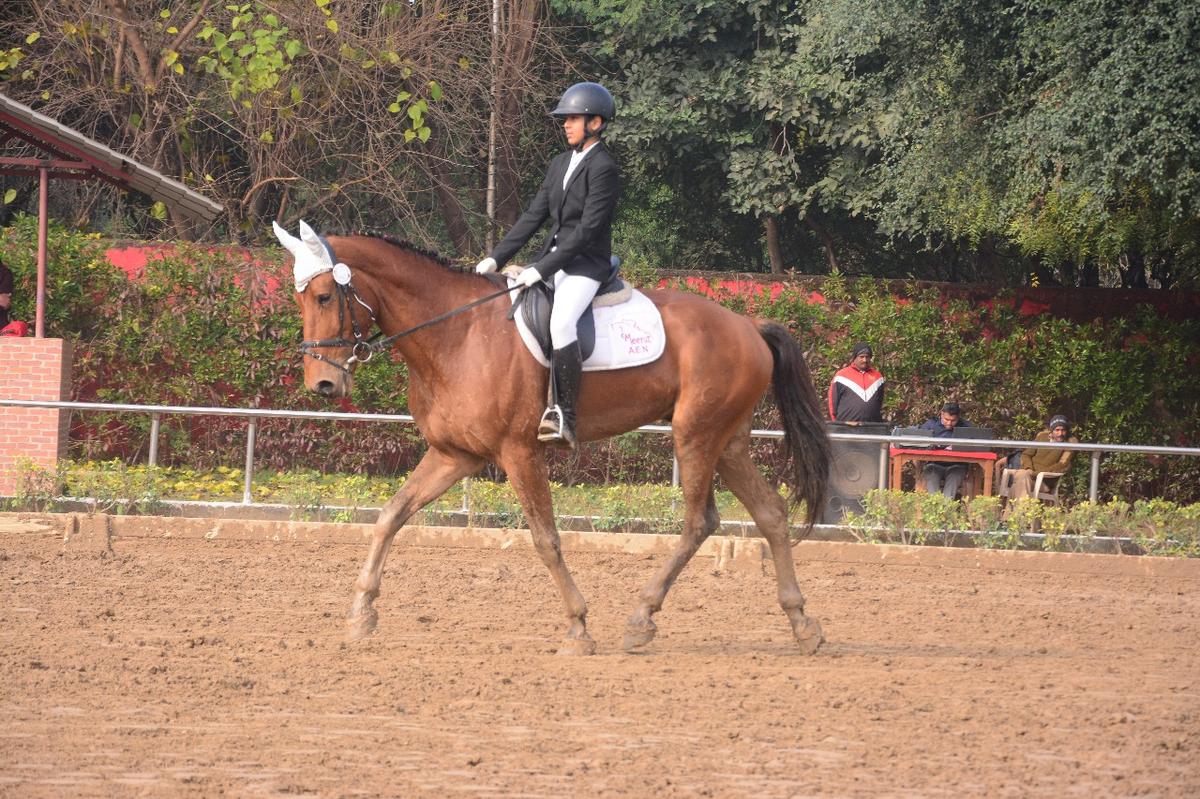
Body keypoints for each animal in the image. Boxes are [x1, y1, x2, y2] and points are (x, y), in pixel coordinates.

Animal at [276, 224, 830, 652]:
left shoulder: (519, 453)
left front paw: (578, 627)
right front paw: (360, 614)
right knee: (770, 513)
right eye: (300, 298)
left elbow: (545, 539)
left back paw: (641, 618)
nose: (322, 384)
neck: (457, 334)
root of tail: (749, 325)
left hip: (695, 433)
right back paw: (803, 624)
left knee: (699, 522)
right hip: (728, 440)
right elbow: (390, 516)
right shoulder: (456, 455)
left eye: (324, 296)